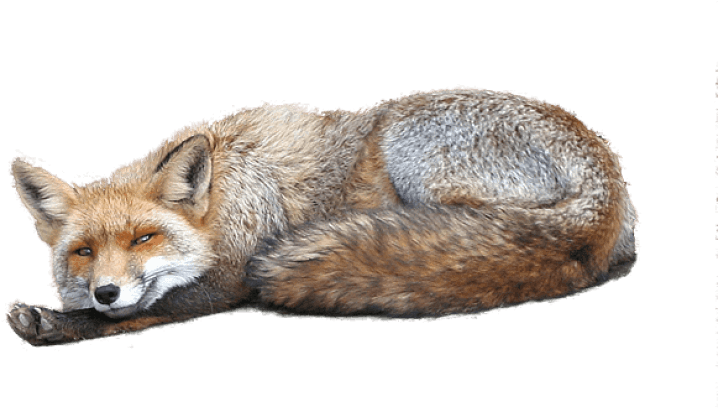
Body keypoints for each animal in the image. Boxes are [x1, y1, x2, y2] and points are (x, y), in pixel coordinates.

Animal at [6, 86, 638, 346]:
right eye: (83, 251)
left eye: (144, 237)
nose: (106, 290)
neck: (230, 184)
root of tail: (603, 167)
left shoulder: (234, 272)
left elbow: (146, 309)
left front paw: (58, 322)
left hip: (409, 147)